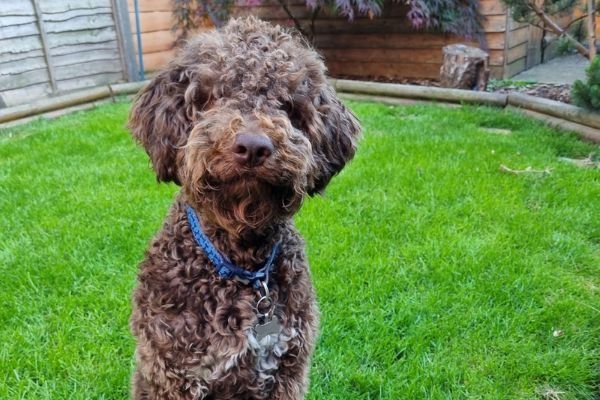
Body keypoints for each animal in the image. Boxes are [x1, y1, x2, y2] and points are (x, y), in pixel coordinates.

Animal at [127, 16, 360, 400]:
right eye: (210, 97)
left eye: (287, 105)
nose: (253, 146)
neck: (241, 262)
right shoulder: (175, 374)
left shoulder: (288, 371)